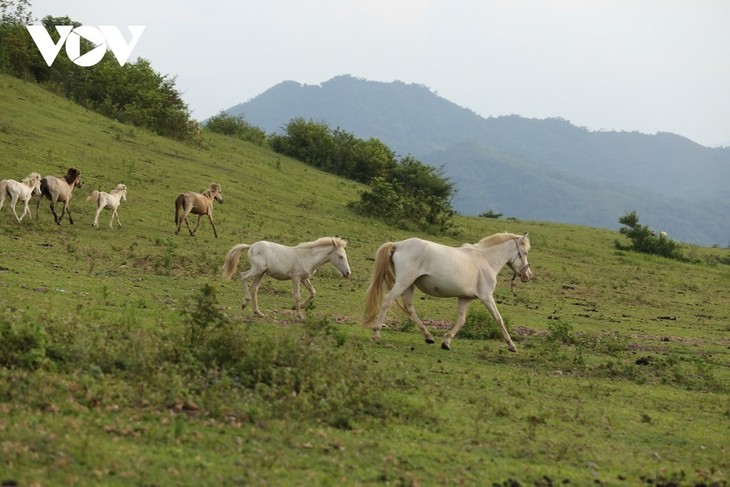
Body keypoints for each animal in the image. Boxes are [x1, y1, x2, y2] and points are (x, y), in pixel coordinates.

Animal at [220, 239, 352, 322]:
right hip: (258, 269)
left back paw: (258, 312)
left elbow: (313, 292)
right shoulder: (296, 278)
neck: (307, 257)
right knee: (243, 276)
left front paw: (297, 307)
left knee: (254, 288)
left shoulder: (304, 278)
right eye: (340, 256)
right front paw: (299, 315)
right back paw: (244, 303)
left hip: (261, 272)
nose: (347, 273)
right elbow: (297, 296)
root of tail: (251, 246)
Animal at [362, 234, 528, 352]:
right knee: (387, 301)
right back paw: (376, 334)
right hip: (403, 282)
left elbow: (461, 320)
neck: (485, 260)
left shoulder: (464, 298)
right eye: (525, 252)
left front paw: (446, 342)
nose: (528, 275)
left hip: (409, 285)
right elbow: (499, 319)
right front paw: (512, 346)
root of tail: (398, 245)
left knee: (409, 308)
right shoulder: (487, 297)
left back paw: (428, 337)